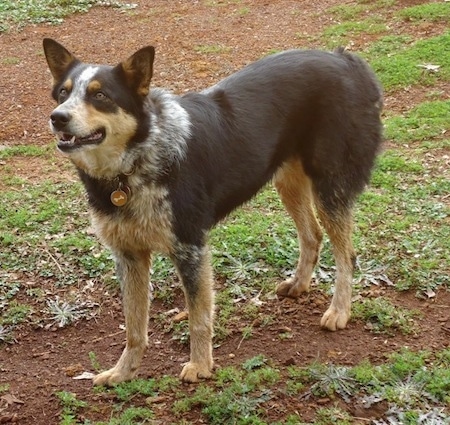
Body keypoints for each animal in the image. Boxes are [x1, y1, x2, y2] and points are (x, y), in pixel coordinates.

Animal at [43, 39, 384, 384]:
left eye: (100, 95)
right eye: (63, 93)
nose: (58, 117)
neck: (131, 167)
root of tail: (346, 60)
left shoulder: (190, 247)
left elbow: (199, 316)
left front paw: (200, 366)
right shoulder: (129, 254)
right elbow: (134, 327)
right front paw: (123, 372)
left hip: (330, 187)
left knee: (347, 255)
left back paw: (339, 311)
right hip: (288, 182)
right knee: (312, 235)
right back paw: (299, 285)